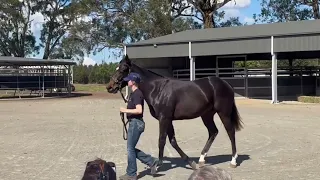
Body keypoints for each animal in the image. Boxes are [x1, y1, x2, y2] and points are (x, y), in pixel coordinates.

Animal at [106, 54, 244, 170]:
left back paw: (233, 161)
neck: (157, 89)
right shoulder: (168, 120)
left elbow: (161, 140)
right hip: (206, 115)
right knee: (213, 132)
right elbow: (172, 141)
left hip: (223, 113)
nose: (110, 87)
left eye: (123, 69)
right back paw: (201, 159)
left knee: (230, 132)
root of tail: (226, 84)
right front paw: (190, 162)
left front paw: (158, 165)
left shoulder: (164, 118)